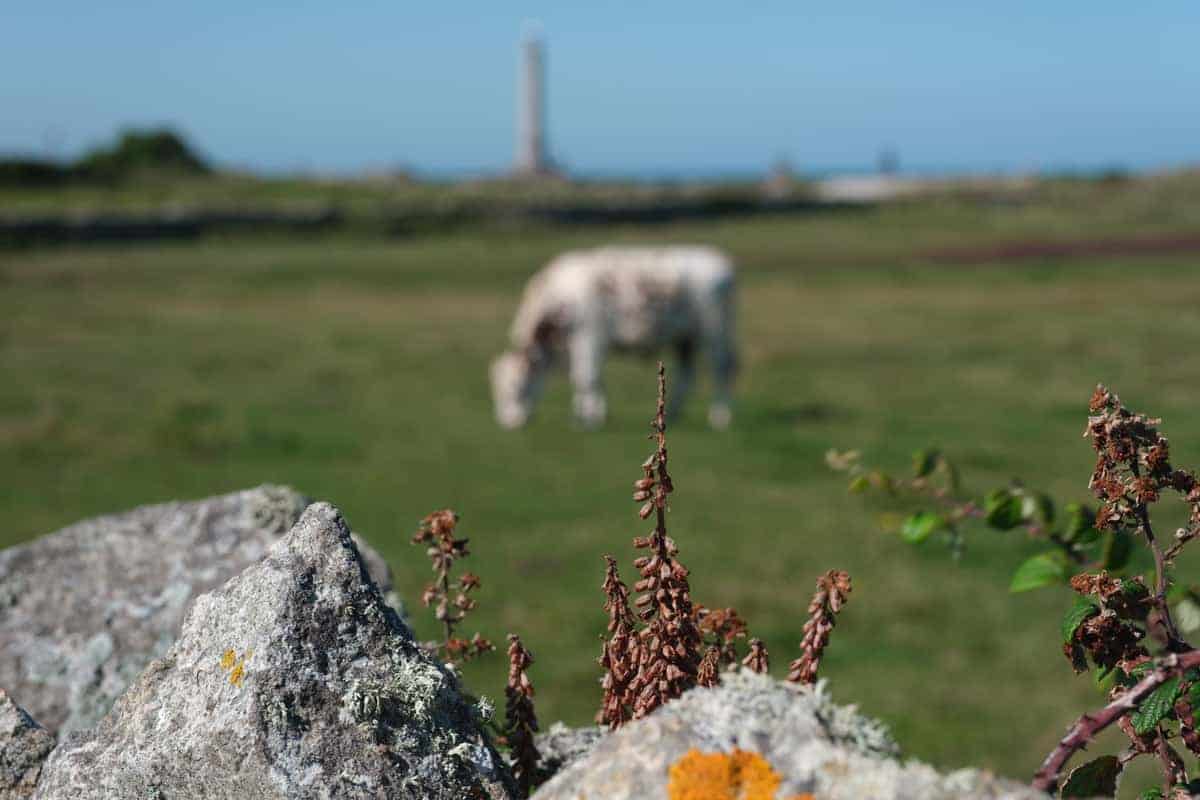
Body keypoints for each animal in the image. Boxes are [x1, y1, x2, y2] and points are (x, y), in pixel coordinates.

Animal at [489, 245, 737, 430]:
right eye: (497, 389)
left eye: (517, 386)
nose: (509, 423)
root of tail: (723, 264)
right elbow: (588, 378)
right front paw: (589, 413)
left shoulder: (589, 337)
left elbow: (586, 377)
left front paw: (589, 419)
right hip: (685, 338)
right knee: (687, 374)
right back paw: (673, 414)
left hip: (716, 332)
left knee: (721, 368)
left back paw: (720, 417)